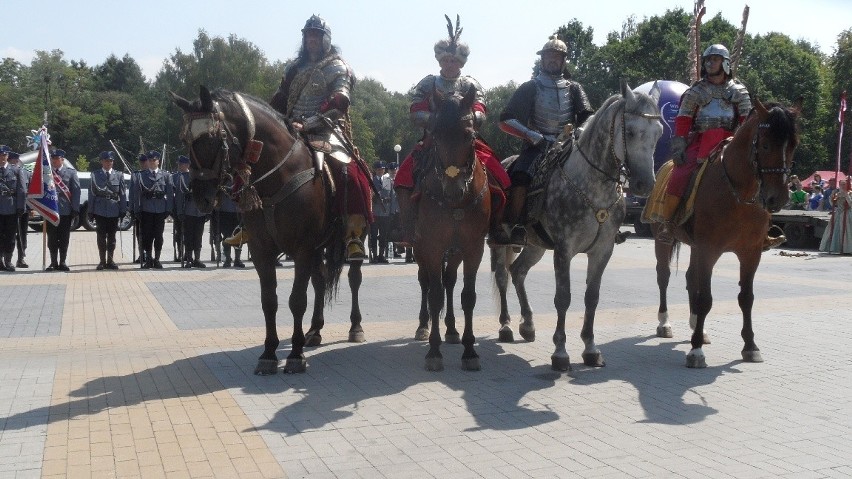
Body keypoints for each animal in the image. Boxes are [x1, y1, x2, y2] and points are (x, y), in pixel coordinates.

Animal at [171, 88, 366, 376]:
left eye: (212, 138)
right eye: (185, 139)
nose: (200, 198)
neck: (279, 175)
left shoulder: (302, 249)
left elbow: (297, 300)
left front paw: (295, 355)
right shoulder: (262, 251)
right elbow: (269, 301)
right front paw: (269, 353)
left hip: (352, 238)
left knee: (354, 278)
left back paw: (355, 327)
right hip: (318, 247)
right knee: (320, 281)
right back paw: (315, 330)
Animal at [416, 86, 490, 372]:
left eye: (469, 135)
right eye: (436, 135)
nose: (454, 189)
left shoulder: (473, 248)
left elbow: (467, 296)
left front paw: (469, 350)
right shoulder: (432, 247)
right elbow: (435, 294)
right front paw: (434, 351)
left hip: (455, 251)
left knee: (449, 281)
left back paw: (451, 329)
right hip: (418, 248)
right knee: (426, 283)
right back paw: (424, 326)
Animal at [490, 81, 664, 372]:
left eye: (659, 132)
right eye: (629, 131)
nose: (644, 185)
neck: (592, 185)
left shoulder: (602, 250)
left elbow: (591, 297)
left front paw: (590, 349)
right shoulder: (564, 250)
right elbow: (563, 297)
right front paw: (560, 353)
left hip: (535, 245)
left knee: (518, 272)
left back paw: (528, 324)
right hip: (499, 239)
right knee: (502, 275)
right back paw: (505, 325)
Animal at [652, 96, 800, 368]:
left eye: (793, 145)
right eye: (765, 144)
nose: (778, 198)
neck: (738, 193)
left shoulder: (751, 253)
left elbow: (746, 297)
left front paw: (750, 346)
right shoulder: (709, 249)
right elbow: (705, 298)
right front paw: (696, 351)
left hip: (696, 246)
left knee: (690, 277)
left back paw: (696, 327)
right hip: (663, 239)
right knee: (664, 275)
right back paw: (665, 323)